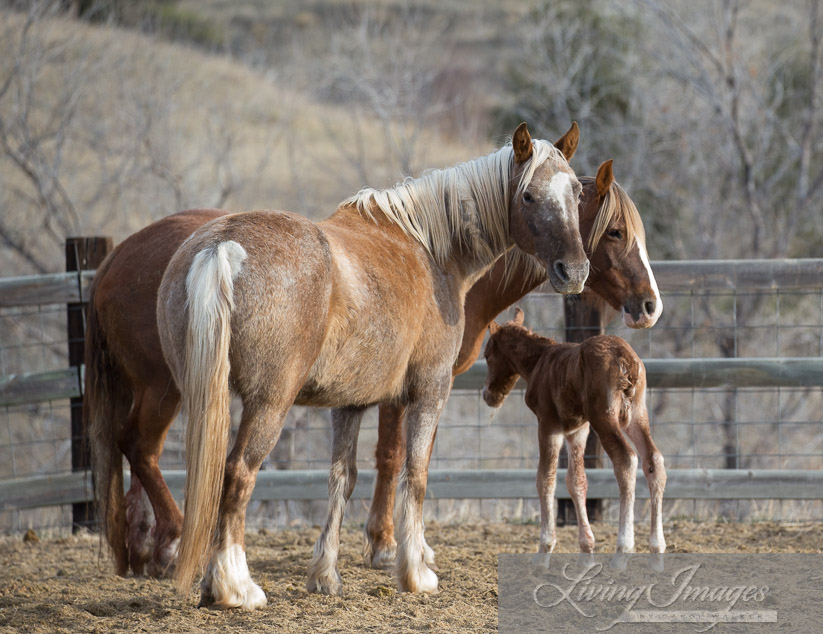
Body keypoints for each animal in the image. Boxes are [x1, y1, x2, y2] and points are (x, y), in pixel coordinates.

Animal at [148, 122, 584, 608]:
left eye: (577, 192)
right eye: (528, 195)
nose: (574, 271)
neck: (431, 250)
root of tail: (222, 245)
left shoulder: (349, 403)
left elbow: (343, 478)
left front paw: (325, 575)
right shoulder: (430, 391)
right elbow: (415, 474)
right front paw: (415, 572)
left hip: (206, 399)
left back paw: (213, 582)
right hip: (269, 404)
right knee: (239, 473)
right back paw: (236, 586)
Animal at [482, 308, 664, 556]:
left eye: (487, 354)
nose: (488, 395)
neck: (536, 362)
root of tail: (627, 361)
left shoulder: (548, 424)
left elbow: (545, 478)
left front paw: (545, 546)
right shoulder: (578, 430)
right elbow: (576, 480)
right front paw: (587, 546)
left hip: (604, 416)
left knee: (626, 459)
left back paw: (624, 547)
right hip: (637, 412)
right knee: (653, 459)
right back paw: (658, 545)